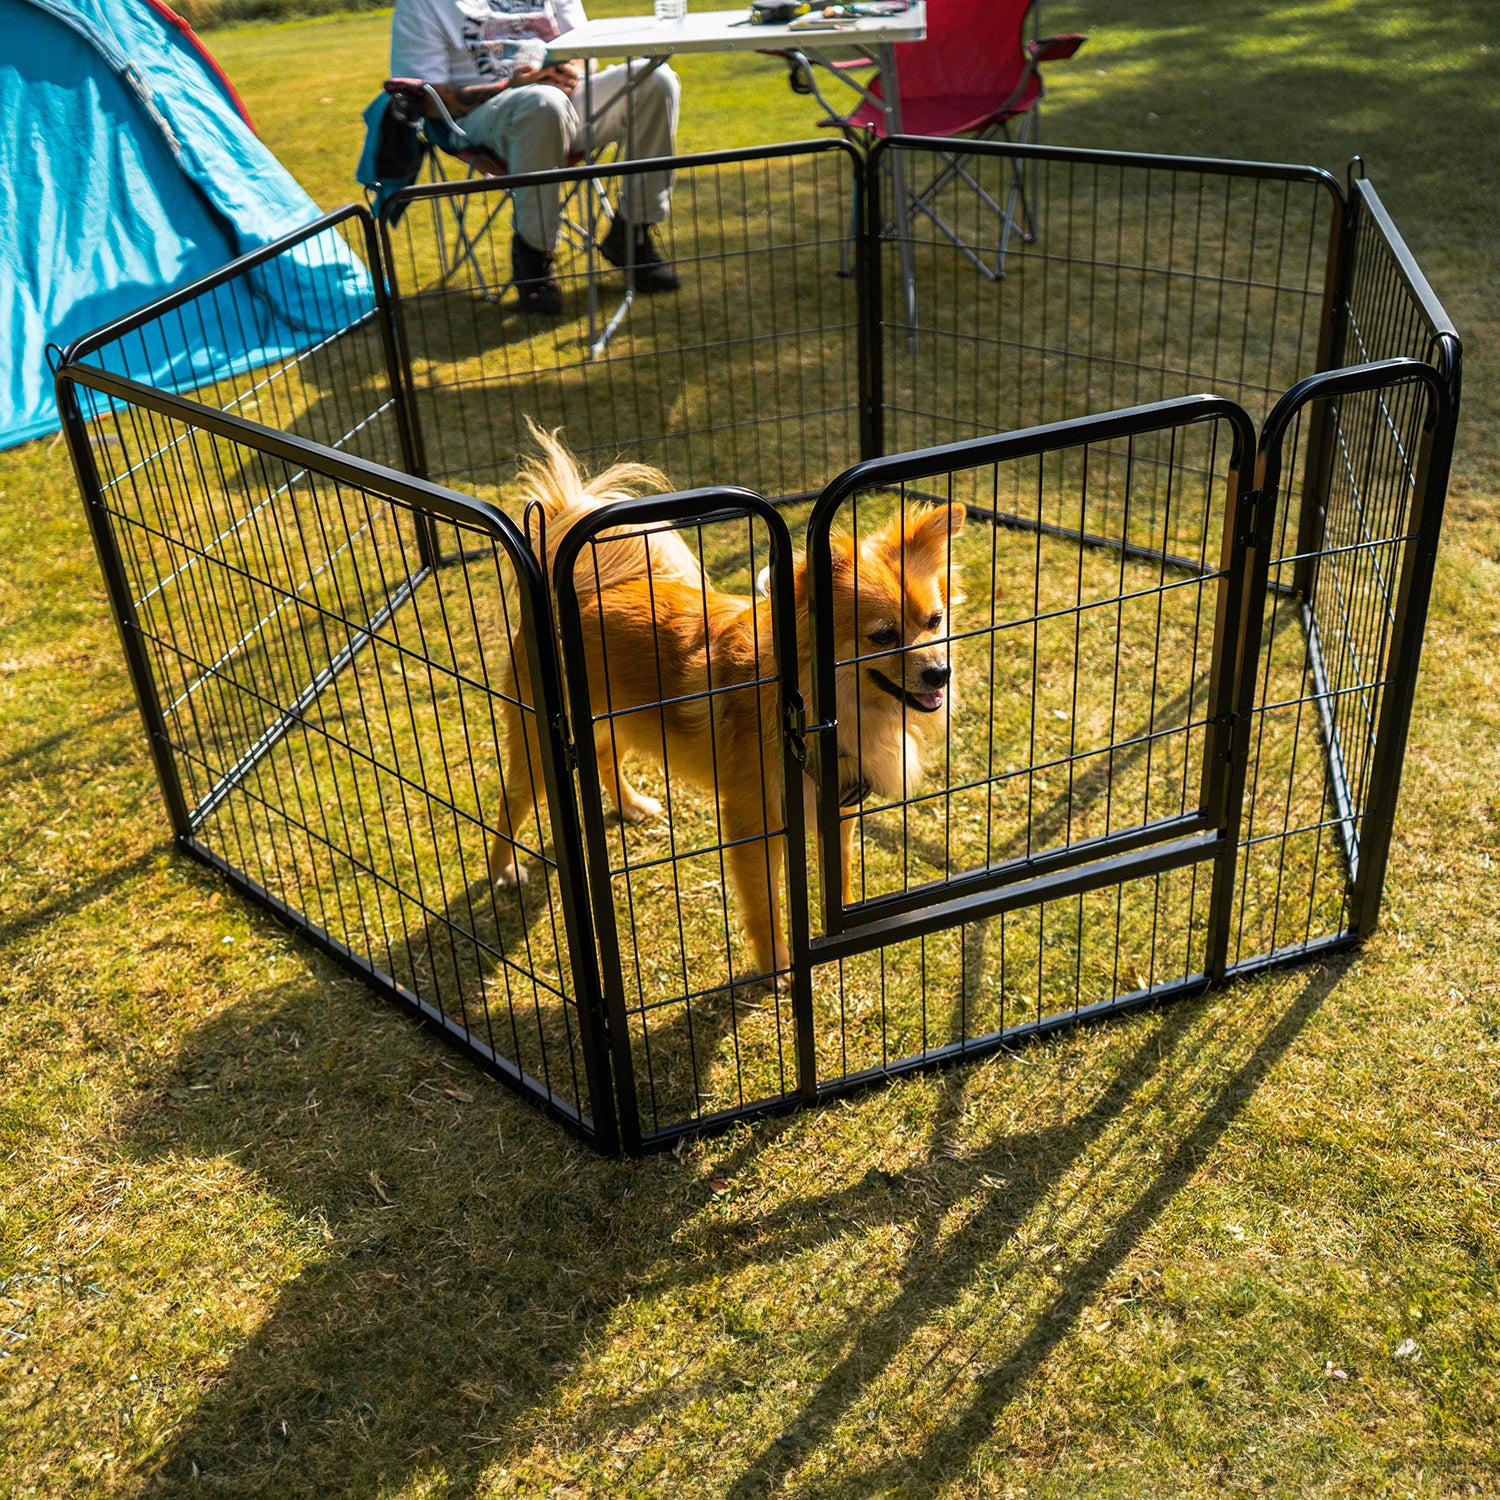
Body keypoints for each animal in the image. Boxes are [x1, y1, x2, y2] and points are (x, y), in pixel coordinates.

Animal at [486, 426, 966, 984]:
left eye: (935, 621)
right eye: (884, 636)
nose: (940, 672)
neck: (813, 708)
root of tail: (580, 593)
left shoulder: (838, 803)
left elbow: (839, 868)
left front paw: (839, 934)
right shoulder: (754, 823)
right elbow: (764, 904)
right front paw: (777, 965)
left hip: (610, 724)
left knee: (605, 760)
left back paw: (631, 806)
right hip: (540, 751)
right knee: (511, 801)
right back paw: (504, 869)